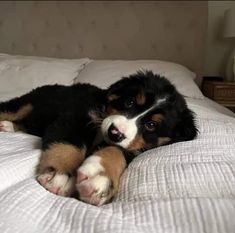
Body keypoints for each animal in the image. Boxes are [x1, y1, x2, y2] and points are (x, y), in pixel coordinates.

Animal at [0, 70, 197, 206]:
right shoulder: (73, 118)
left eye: (151, 125)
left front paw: (101, 176)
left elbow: (117, 151)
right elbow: (70, 146)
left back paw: (8, 126)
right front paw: (61, 176)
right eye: (129, 102)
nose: (114, 132)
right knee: (8, 109)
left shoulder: (131, 146)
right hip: (25, 104)